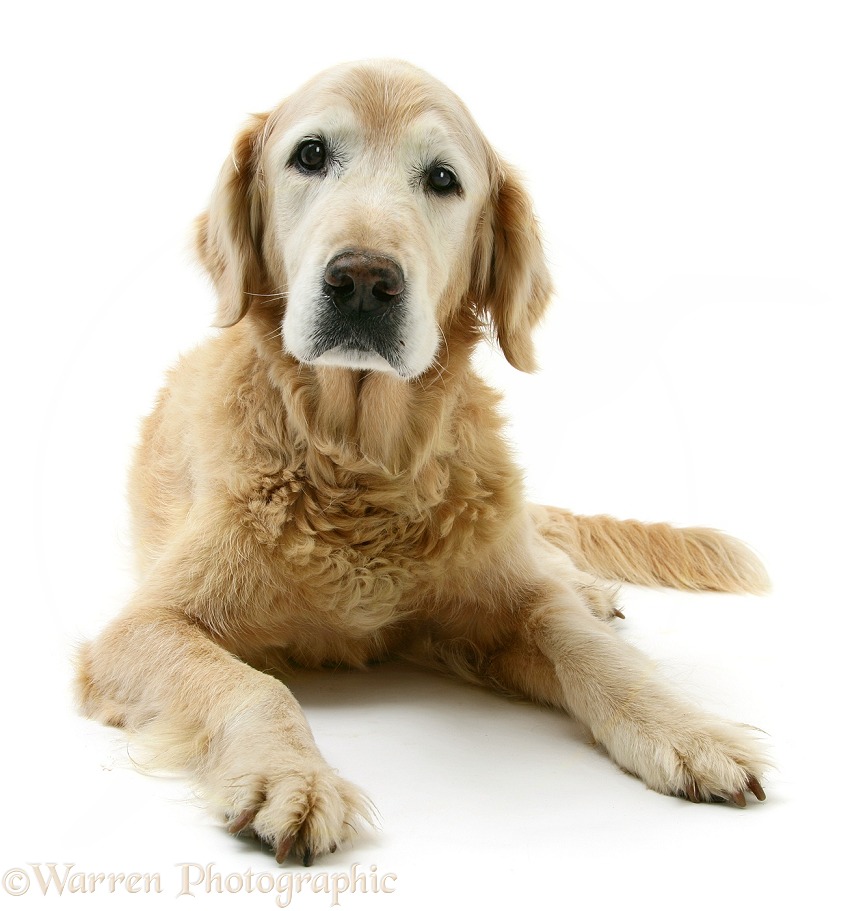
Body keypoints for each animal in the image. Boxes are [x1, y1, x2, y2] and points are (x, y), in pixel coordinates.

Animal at [77, 58, 772, 868]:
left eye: (442, 178)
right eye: (310, 154)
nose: (362, 280)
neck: (359, 462)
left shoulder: (512, 604)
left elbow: (595, 653)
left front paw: (689, 730)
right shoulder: (142, 627)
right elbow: (249, 685)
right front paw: (290, 777)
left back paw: (590, 588)